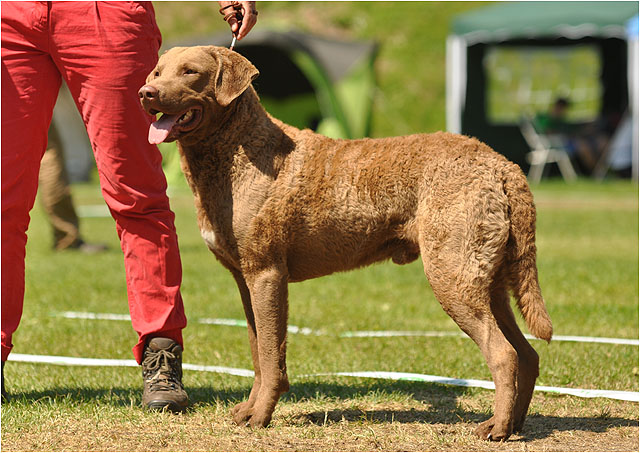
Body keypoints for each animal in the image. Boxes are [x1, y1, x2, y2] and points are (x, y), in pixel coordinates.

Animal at [142, 46, 552, 442]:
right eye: (158, 71)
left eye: (190, 72)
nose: (147, 92)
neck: (238, 153)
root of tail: (503, 165)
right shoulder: (245, 279)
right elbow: (258, 351)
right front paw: (247, 411)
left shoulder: (267, 273)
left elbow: (271, 355)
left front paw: (260, 416)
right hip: (489, 278)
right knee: (527, 353)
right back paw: (513, 424)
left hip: (452, 274)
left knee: (503, 353)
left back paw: (496, 429)